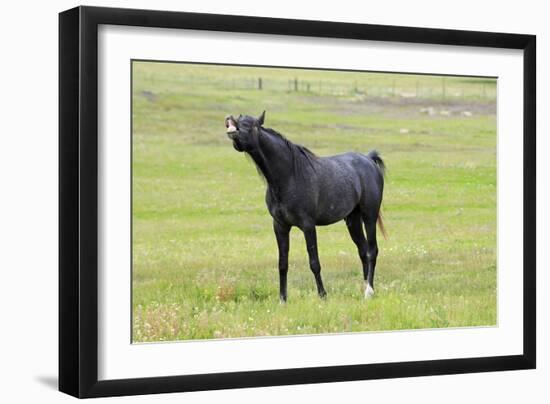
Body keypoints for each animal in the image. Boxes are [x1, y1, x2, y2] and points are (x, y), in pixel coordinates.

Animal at [225, 112, 388, 302]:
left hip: (369, 216)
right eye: (239, 119)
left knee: (372, 251)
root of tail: (369, 159)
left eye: (251, 125)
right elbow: (282, 264)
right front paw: (283, 299)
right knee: (362, 250)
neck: (289, 176)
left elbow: (314, 262)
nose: (231, 125)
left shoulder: (308, 226)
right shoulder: (280, 226)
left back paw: (369, 291)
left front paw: (323, 295)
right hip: (352, 220)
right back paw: (364, 288)